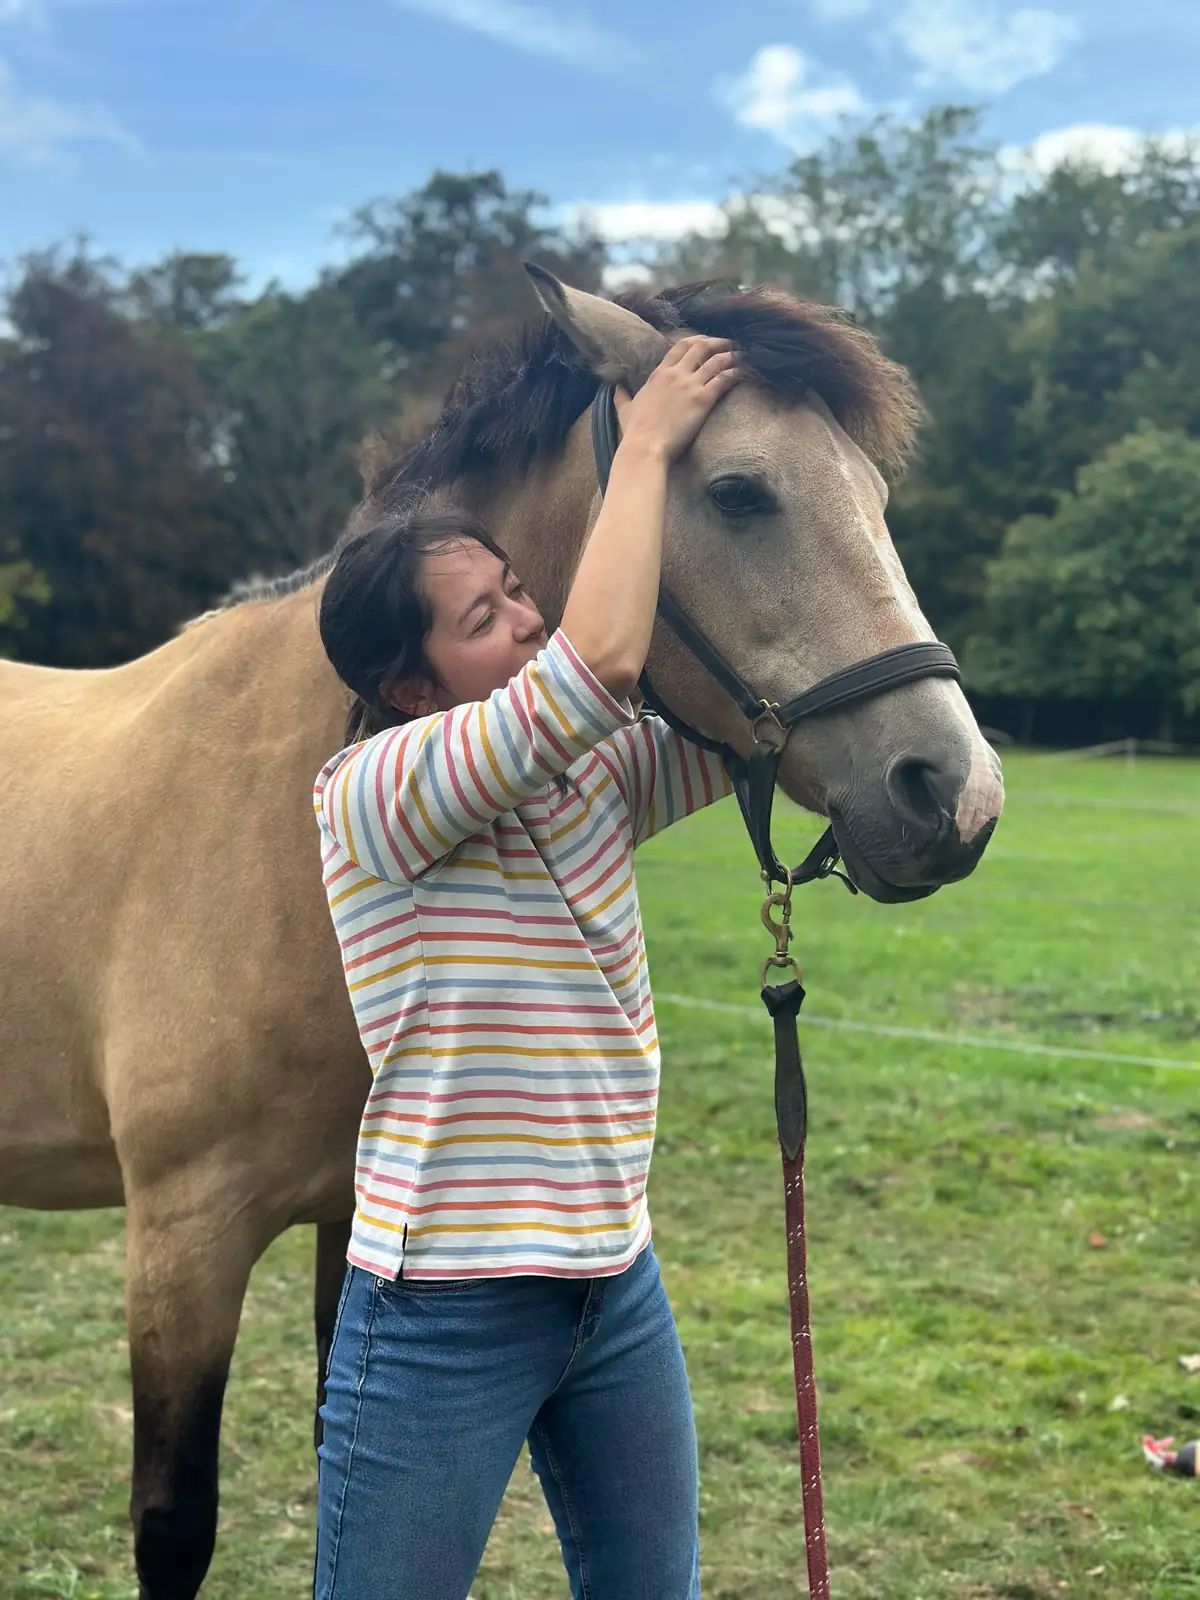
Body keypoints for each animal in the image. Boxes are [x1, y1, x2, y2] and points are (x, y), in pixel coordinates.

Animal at [0, 265, 1004, 1599]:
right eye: (741, 491)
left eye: (879, 500)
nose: (954, 795)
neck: (276, 809)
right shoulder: (181, 1239)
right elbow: (175, 1526)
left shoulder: (345, 1222)